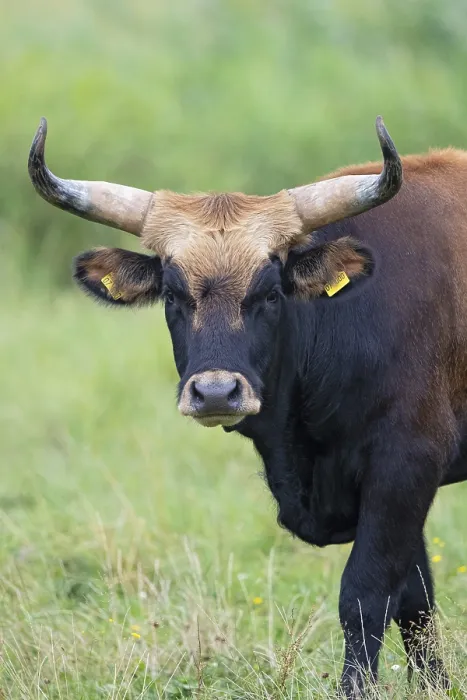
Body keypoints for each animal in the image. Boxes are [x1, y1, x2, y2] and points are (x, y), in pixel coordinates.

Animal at [28, 115, 466, 697]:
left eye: (271, 293)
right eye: (173, 295)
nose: (216, 392)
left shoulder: (404, 464)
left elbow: (367, 593)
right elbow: (415, 598)